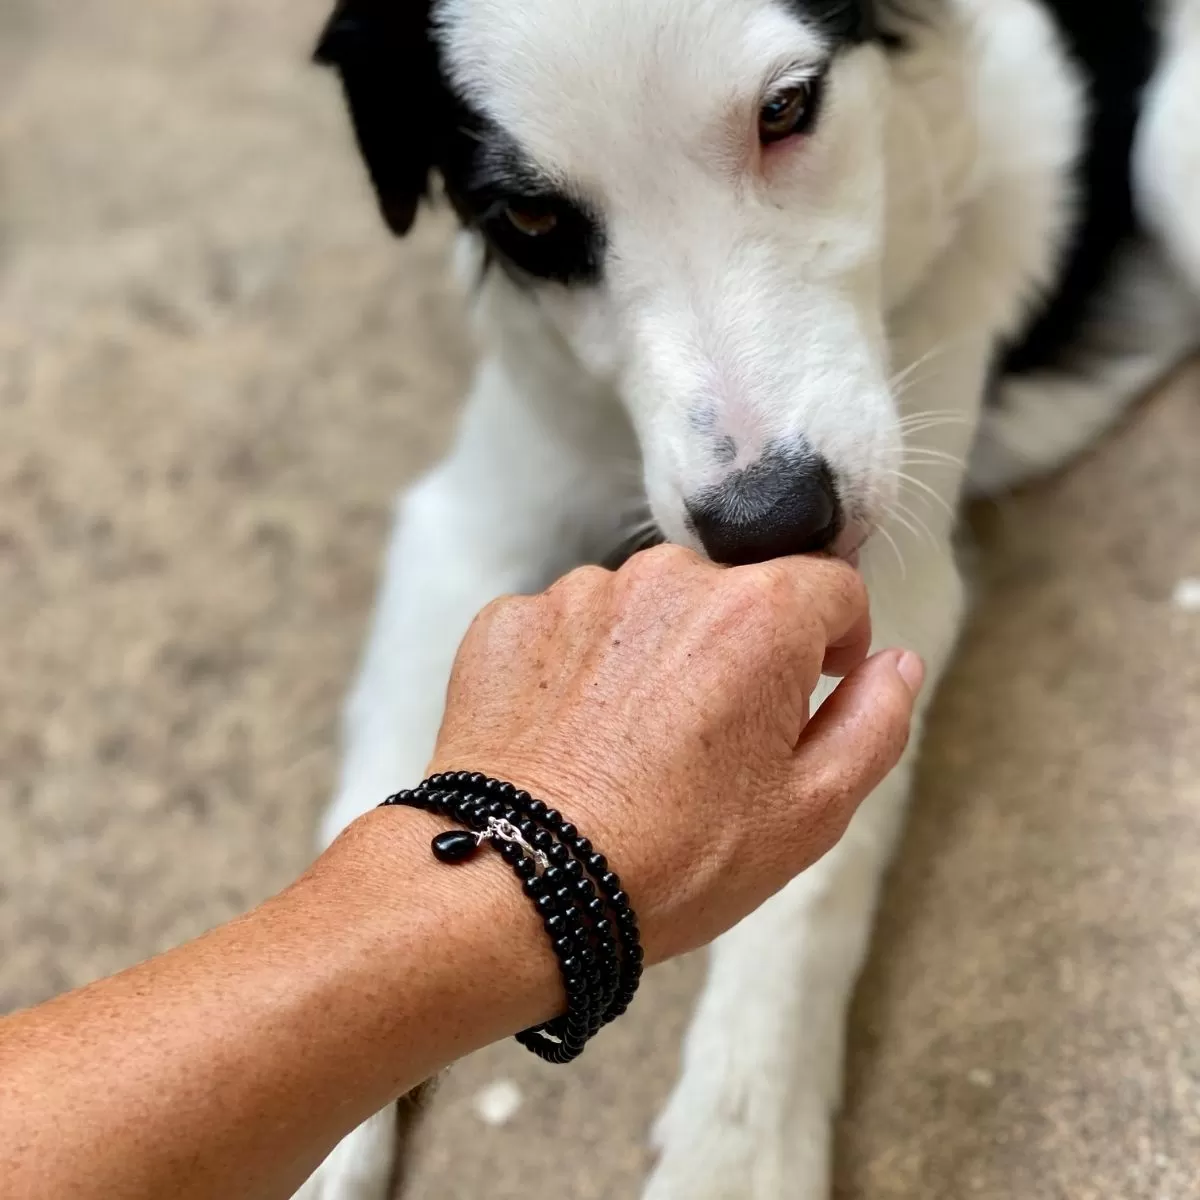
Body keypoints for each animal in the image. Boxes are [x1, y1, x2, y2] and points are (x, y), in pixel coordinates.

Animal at [295, 2, 1200, 1200]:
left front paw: (740, 1142)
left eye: (786, 108)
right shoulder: (468, 520)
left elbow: (803, 894)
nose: (768, 522)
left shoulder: (889, 578)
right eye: (530, 214)